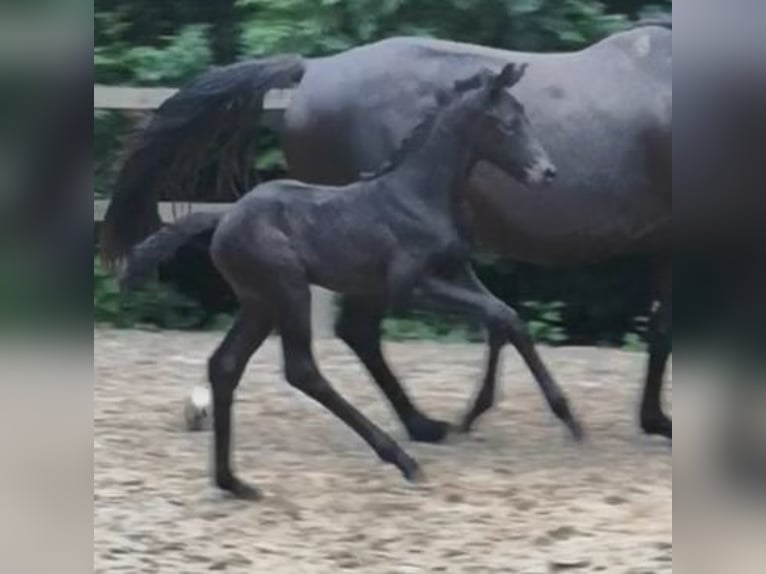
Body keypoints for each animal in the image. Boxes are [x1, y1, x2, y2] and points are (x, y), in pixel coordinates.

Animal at [102, 18, 672, 440]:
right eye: (510, 123)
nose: (546, 171)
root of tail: (314, 68)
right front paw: (655, 421)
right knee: (358, 332)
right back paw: (420, 426)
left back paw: (423, 424)